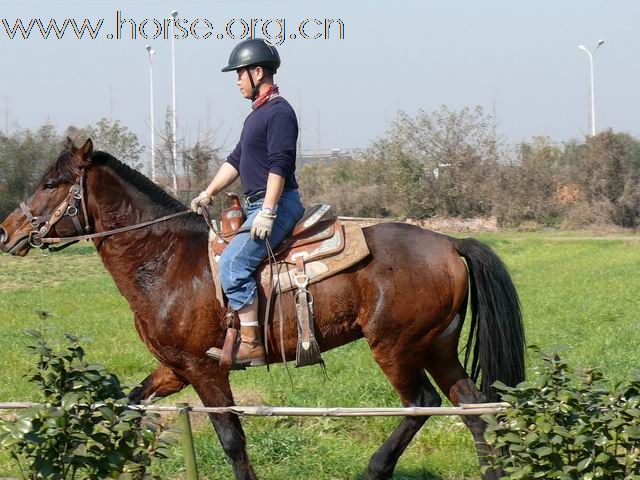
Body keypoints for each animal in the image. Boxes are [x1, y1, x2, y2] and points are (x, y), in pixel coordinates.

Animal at [1, 138, 524, 476]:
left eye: (52, 183)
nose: (7, 232)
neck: (167, 261)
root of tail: (449, 243)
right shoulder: (173, 368)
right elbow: (130, 405)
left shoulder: (206, 370)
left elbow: (233, 441)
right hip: (437, 347)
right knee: (474, 408)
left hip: (396, 348)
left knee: (421, 404)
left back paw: (375, 468)